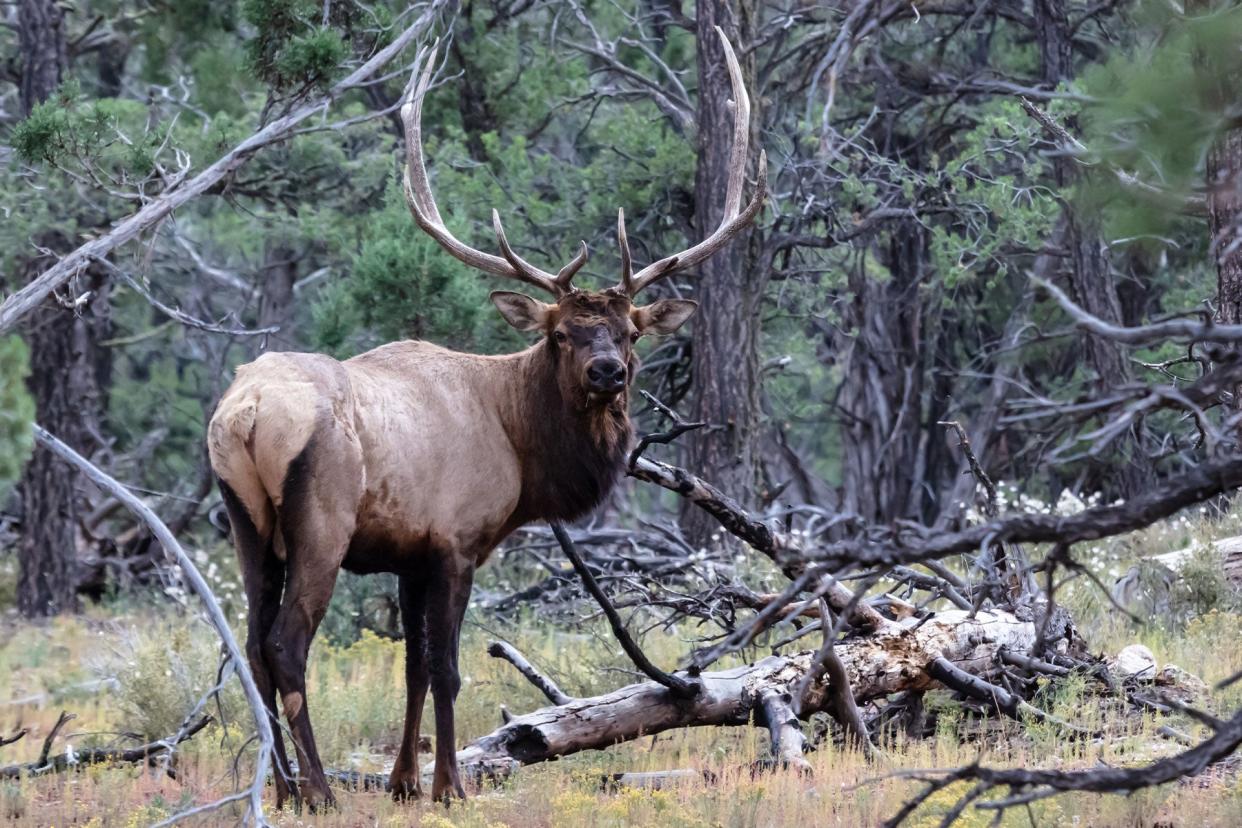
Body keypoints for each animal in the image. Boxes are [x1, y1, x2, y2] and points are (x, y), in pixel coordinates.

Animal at [208, 30, 760, 809]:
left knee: (251, 645)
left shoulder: (408, 555)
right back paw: (319, 790)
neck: (521, 449)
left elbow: (411, 666)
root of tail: (247, 412)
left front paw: (404, 782)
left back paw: (283, 790)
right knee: (286, 646)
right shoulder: (456, 542)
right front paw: (449, 787)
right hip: (319, 520)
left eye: (629, 332)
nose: (607, 373)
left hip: (248, 523)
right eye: (560, 333)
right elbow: (447, 669)